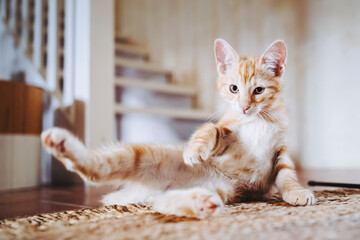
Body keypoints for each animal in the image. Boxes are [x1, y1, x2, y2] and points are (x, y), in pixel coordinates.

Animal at [41, 38, 316, 219]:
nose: (245, 107)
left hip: (219, 188)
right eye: (233, 88)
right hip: (147, 156)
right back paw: (62, 145)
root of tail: (152, 187)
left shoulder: (280, 150)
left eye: (258, 90)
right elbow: (211, 129)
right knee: (98, 168)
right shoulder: (228, 133)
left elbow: (287, 173)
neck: (257, 121)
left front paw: (297, 192)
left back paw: (199, 203)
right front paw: (195, 150)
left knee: (164, 203)